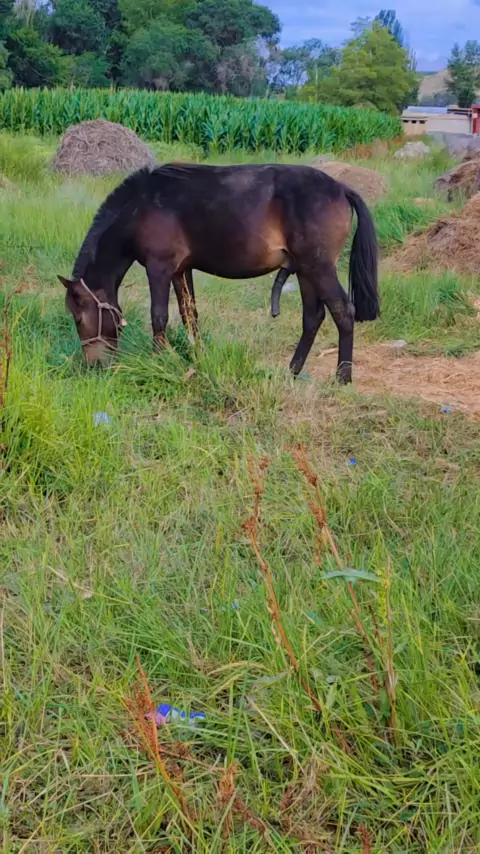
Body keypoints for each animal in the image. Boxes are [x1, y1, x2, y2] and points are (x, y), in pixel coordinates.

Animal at [59, 162, 379, 383]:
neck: (142, 206)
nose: (93, 364)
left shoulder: (159, 268)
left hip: (318, 267)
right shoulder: (181, 270)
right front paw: (197, 358)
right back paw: (292, 370)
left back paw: (343, 377)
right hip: (304, 270)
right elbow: (189, 315)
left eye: (79, 318)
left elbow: (158, 316)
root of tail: (341, 188)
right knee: (313, 317)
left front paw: (159, 360)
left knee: (343, 311)